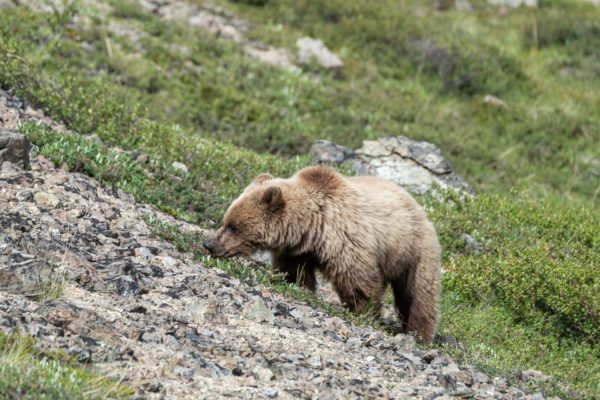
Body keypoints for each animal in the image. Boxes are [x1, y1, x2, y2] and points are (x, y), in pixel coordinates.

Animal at [204, 166, 442, 344]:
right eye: (225, 220)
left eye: (233, 227)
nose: (209, 244)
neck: (313, 226)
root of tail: (417, 204)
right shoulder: (296, 251)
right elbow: (293, 273)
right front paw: (295, 285)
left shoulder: (345, 240)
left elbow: (358, 281)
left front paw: (364, 312)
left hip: (414, 250)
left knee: (418, 295)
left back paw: (418, 333)